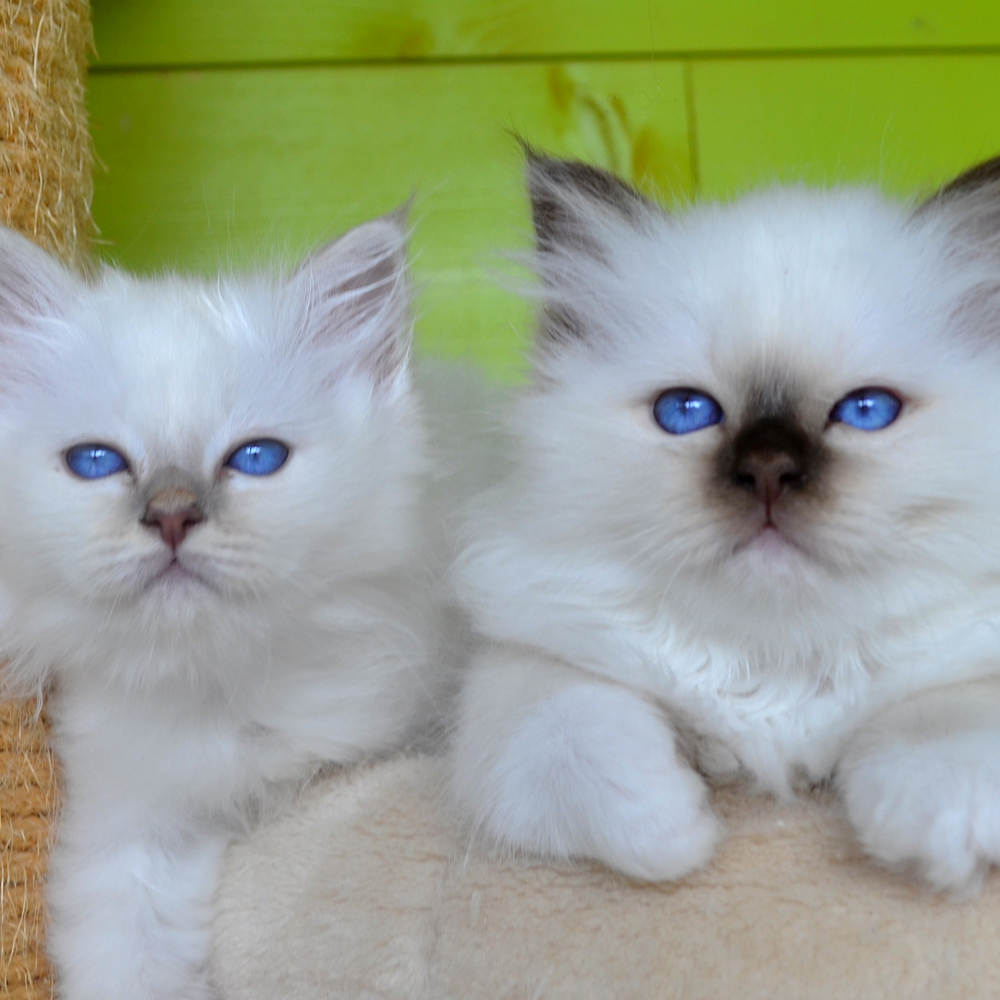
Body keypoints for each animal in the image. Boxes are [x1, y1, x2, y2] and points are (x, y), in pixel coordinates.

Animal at [0, 215, 450, 996]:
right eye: (96, 462)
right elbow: (129, 965)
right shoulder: (128, 830)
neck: (220, 688)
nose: (172, 516)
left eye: (257, 458)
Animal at [454, 154, 1000, 892]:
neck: (774, 667)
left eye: (867, 411)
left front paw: (948, 847)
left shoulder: (966, 661)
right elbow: (575, 737)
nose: (768, 469)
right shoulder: (524, 669)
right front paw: (681, 829)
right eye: (686, 412)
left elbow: (946, 722)